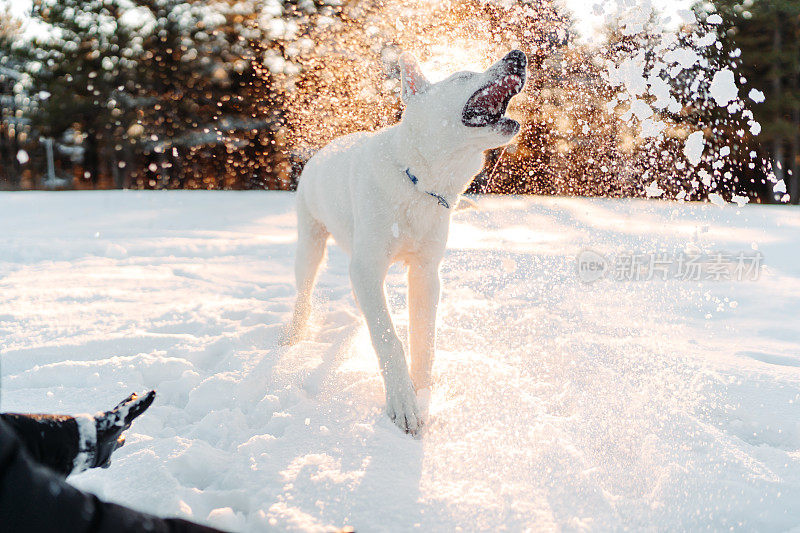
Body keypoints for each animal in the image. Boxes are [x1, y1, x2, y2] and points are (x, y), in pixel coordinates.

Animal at [286, 48, 524, 432]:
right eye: (463, 75)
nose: (518, 55)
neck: (419, 182)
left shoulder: (426, 273)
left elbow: (423, 342)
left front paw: (423, 396)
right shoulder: (368, 267)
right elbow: (388, 339)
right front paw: (402, 402)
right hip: (310, 243)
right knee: (304, 293)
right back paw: (293, 336)